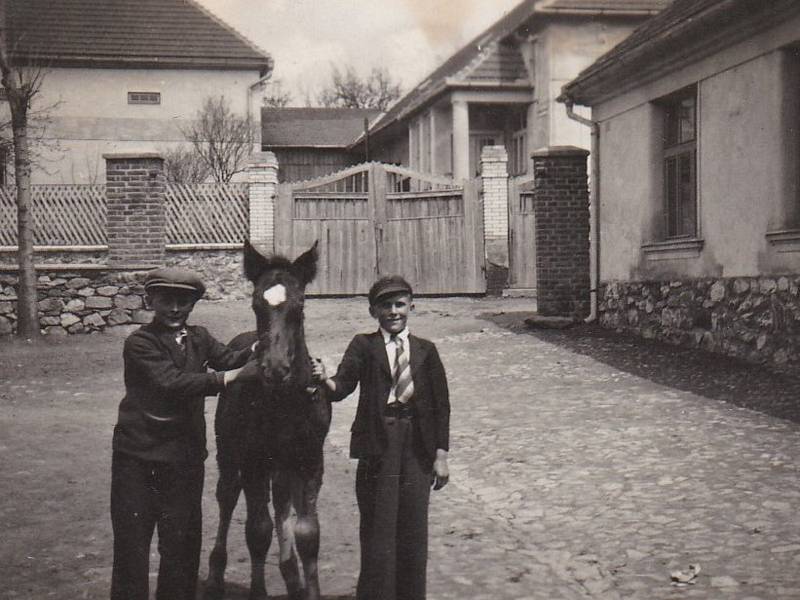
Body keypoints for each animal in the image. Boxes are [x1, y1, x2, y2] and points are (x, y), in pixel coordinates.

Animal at [206, 240, 332, 600]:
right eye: (255, 303)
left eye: (300, 305)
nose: (275, 369)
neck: (284, 403)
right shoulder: (253, 461)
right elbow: (257, 530)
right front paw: (257, 590)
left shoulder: (310, 461)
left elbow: (308, 533)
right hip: (229, 452)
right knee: (227, 496)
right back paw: (215, 574)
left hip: (283, 465)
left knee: (281, 503)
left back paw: (291, 575)